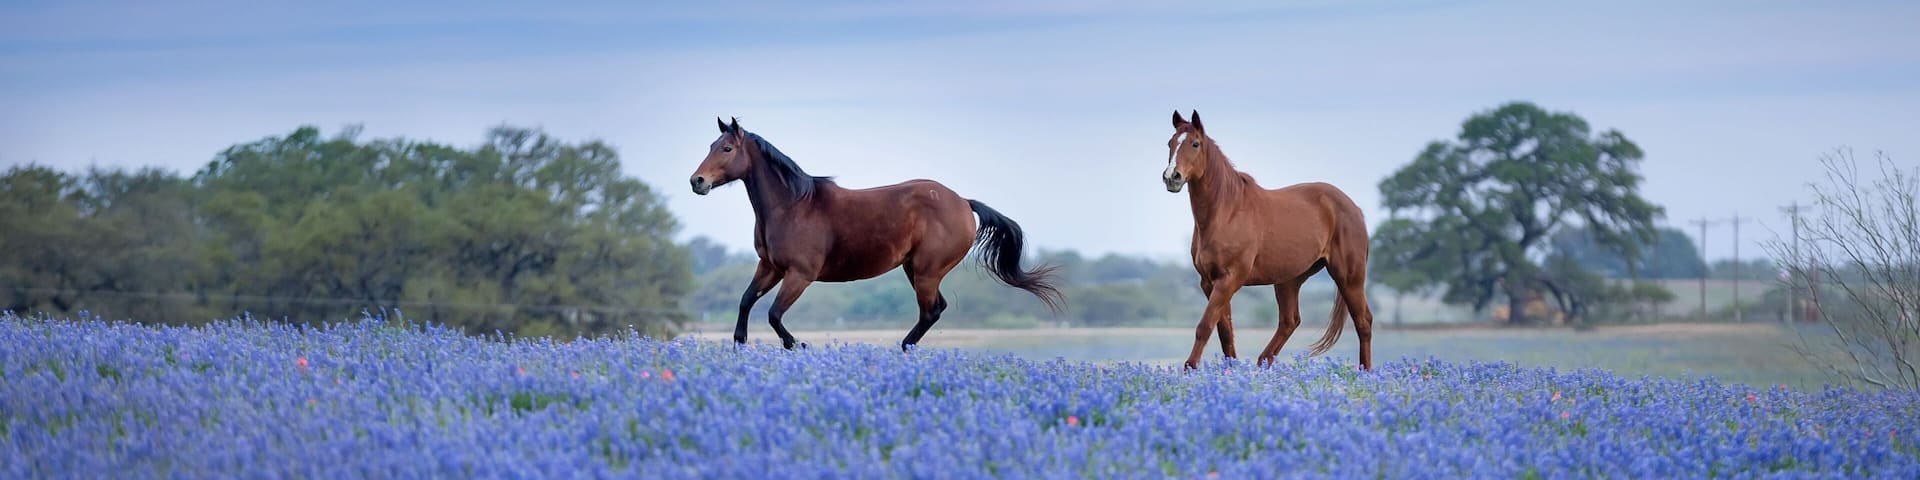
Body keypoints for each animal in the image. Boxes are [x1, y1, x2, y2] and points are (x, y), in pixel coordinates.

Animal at [690, 117, 1063, 350]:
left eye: (726, 149)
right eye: (710, 145)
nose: (697, 181)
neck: (792, 206)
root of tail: (962, 202)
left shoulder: (799, 274)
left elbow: (774, 315)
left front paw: (798, 345)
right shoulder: (770, 267)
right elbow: (745, 301)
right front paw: (740, 344)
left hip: (926, 271)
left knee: (931, 311)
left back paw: (904, 348)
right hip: (915, 270)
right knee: (936, 309)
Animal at [1161, 110, 1376, 370]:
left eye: (1195, 144)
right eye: (1170, 143)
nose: (1172, 177)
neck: (1226, 211)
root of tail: (1354, 208)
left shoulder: (1229, 279)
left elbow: (1205, 326)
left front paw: (1191, 367)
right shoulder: (1209, 282)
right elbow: (1224, 332)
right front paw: (1231, 371)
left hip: (1349, 277)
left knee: (1363, 321)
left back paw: (1366, 372)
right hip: (1289, 280)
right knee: (1289, 321)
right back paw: (1262, 363)